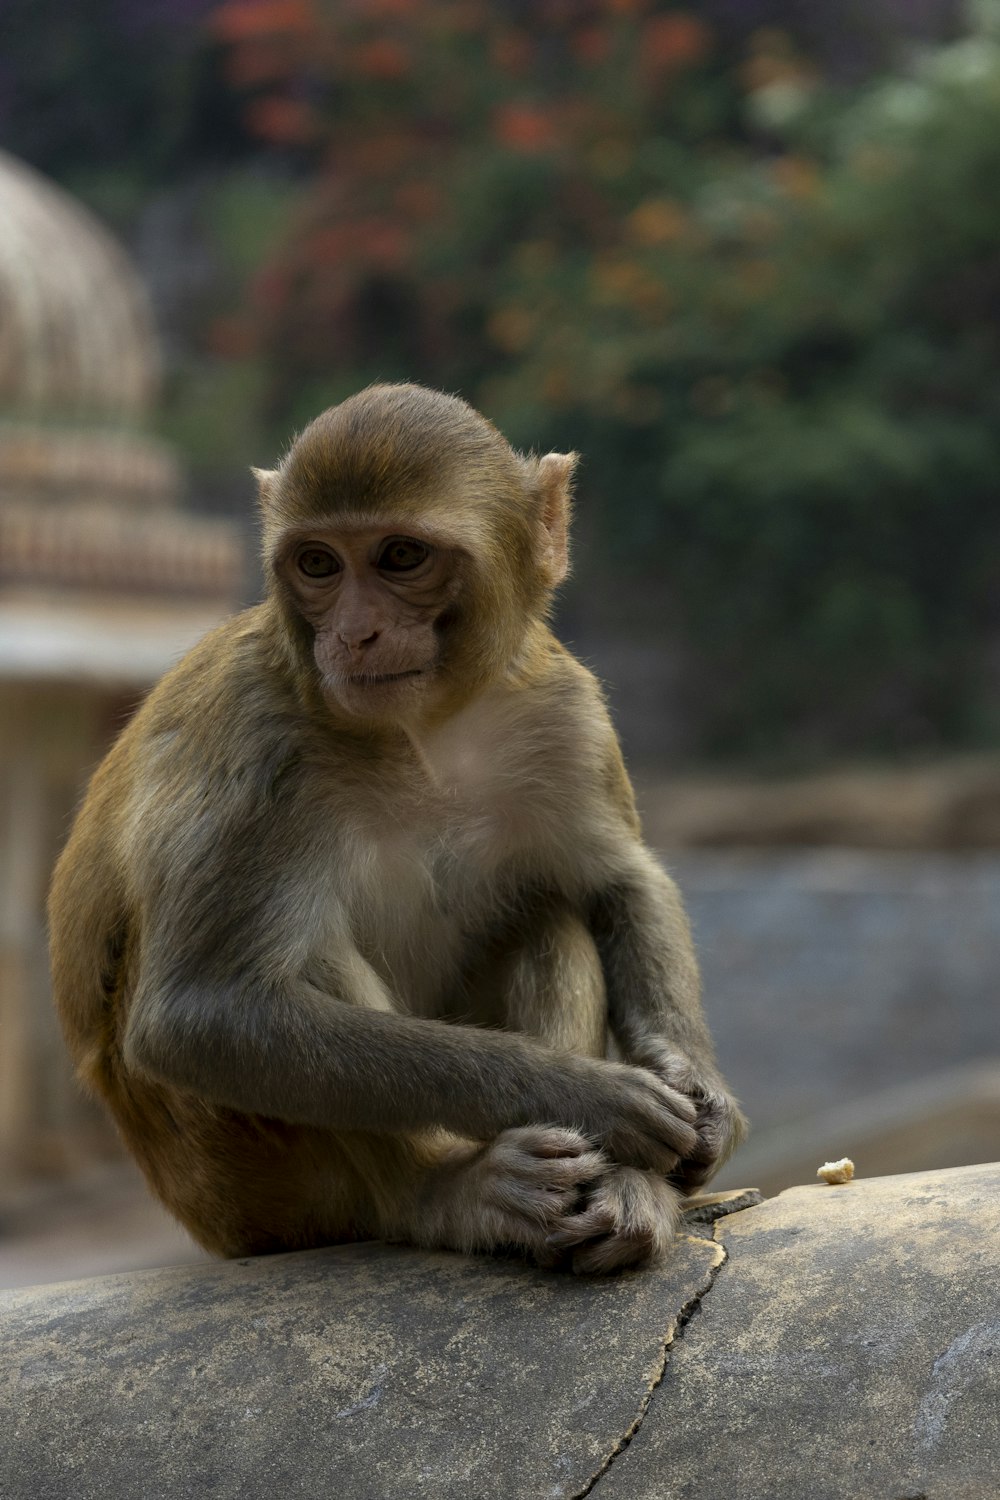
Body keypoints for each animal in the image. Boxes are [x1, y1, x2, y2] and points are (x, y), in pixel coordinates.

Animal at [50, 381, 746, 1272]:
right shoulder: (253, 738)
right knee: (300, 969)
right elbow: (199, 1015)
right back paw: (450, 1193)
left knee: (548, 916)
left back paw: (618, 1193)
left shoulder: (564, 708)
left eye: (401, 556)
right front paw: (589, 1097)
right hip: (240, 1187)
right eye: (317, 563)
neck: (423, 734)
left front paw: (696, 1088)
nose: (354, 634)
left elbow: (621, 883)